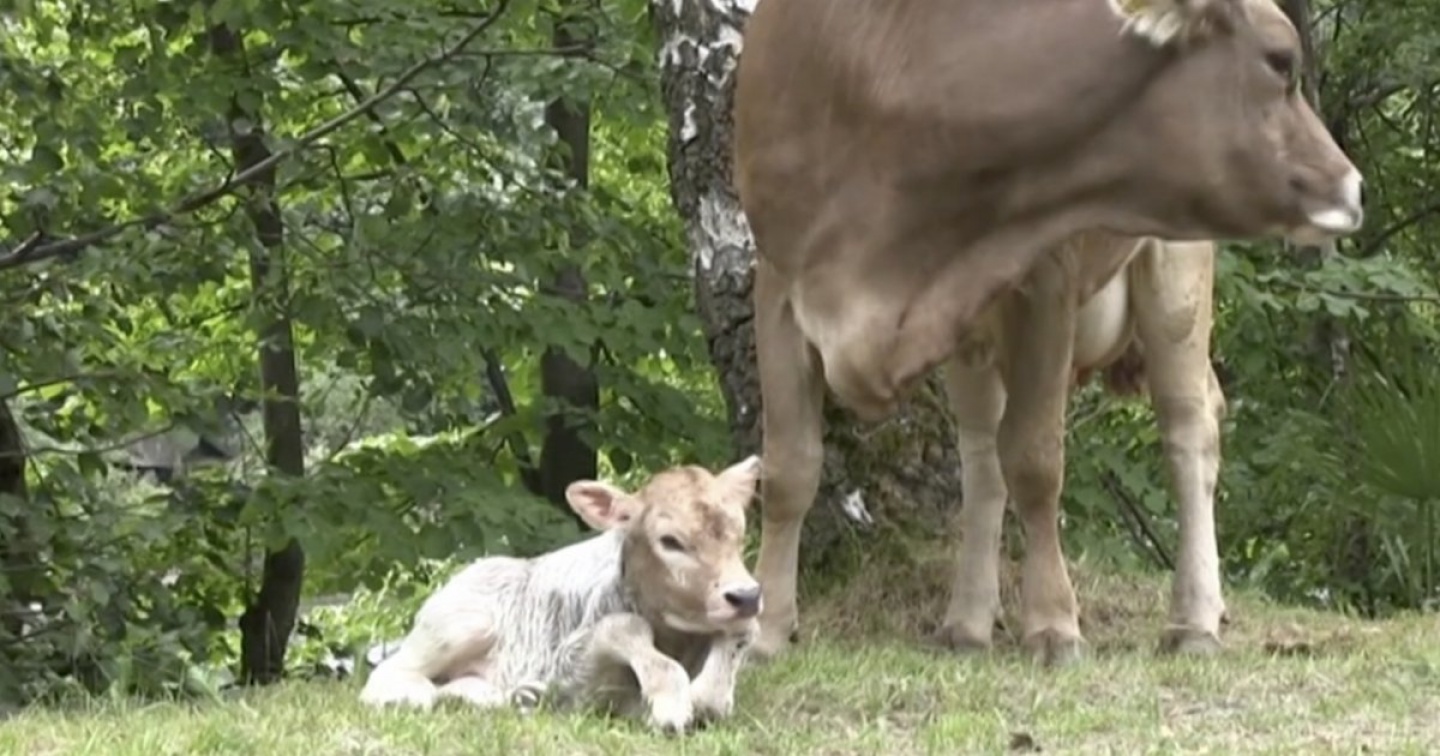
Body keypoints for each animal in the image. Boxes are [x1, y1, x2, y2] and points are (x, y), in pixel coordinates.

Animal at [359, 457, 765, 733]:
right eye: (670, 541)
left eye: (740, 531)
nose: (746, 595)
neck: (677, 639)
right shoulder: (570, 674)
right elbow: (624, 626)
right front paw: (670, 704)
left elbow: (736, 641)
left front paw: (702, 697)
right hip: (460, 623)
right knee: (389, 674)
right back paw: (414, 693)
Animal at [731, 0, 1364, 663]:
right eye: (1281, 61)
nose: (1353, 184)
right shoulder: (779, 282)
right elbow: (790, 468)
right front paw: (767, 628)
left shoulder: (1043, 279)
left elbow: (1035, 461)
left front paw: (1054, 624)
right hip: (974, 342)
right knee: (981, 456)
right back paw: (967, 622)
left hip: (1176, 271)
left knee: (1189, 426)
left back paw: (1194, 621)